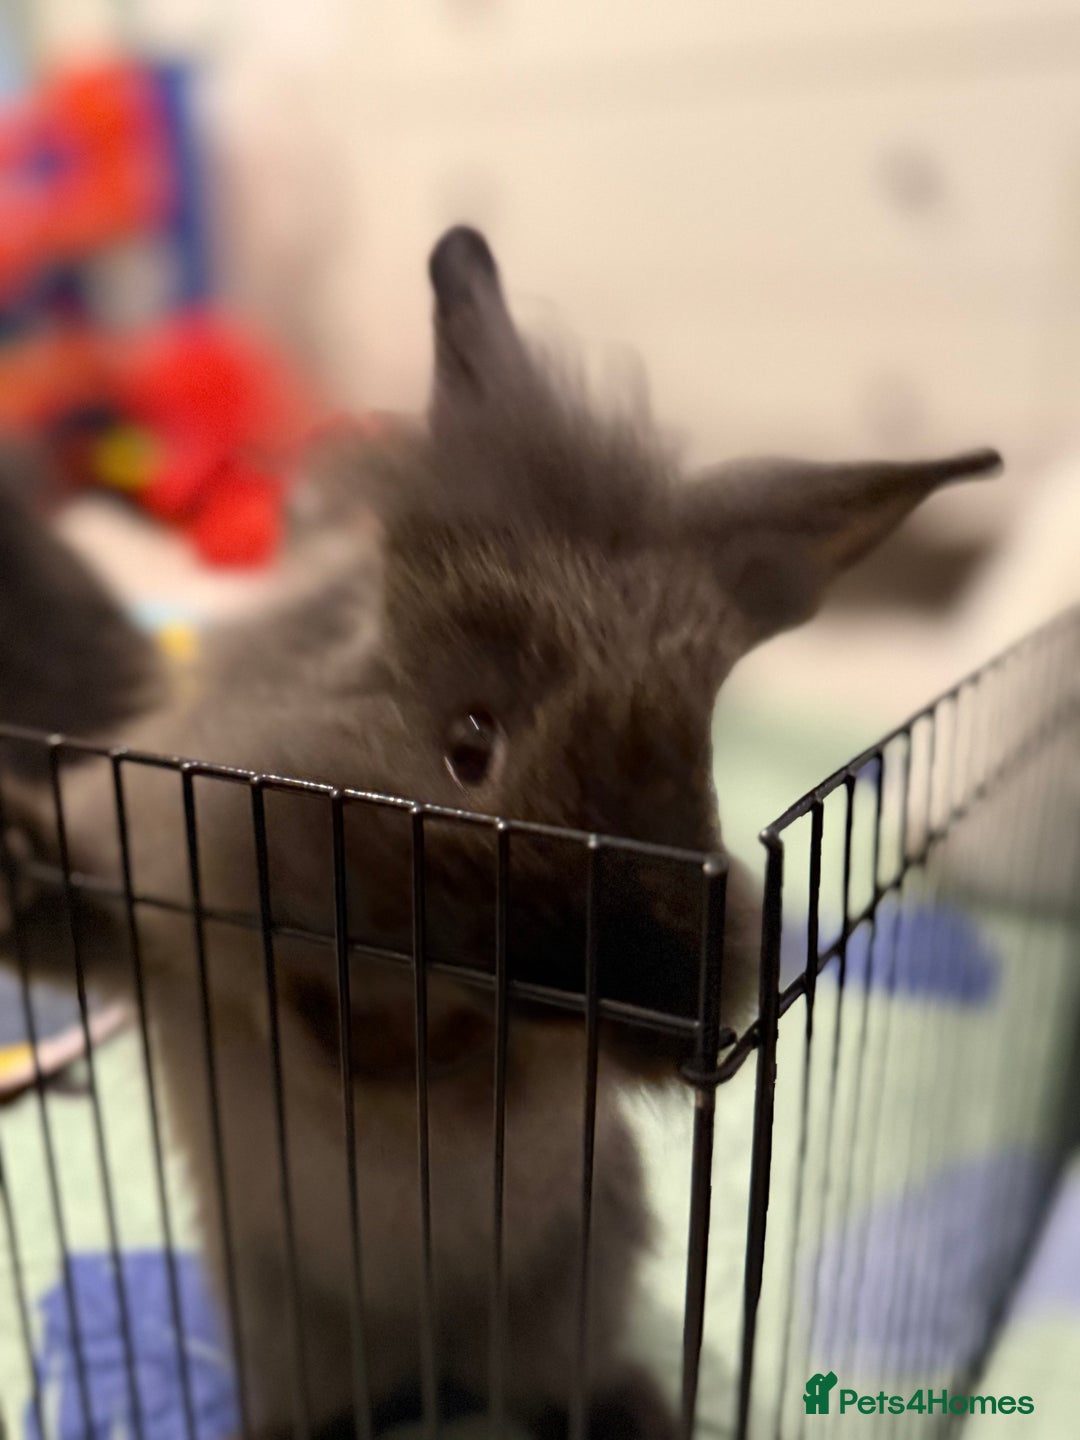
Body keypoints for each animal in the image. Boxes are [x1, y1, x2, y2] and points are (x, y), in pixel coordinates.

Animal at [0, 226, 1001, 1440]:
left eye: (700, 762)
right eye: (468, 744)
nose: (658, 986)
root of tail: (431, 1367)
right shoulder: (165, 928)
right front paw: (6, 856)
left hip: (561, 1311)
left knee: (568, 1389)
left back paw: (646, 1414)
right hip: (300, 1341)